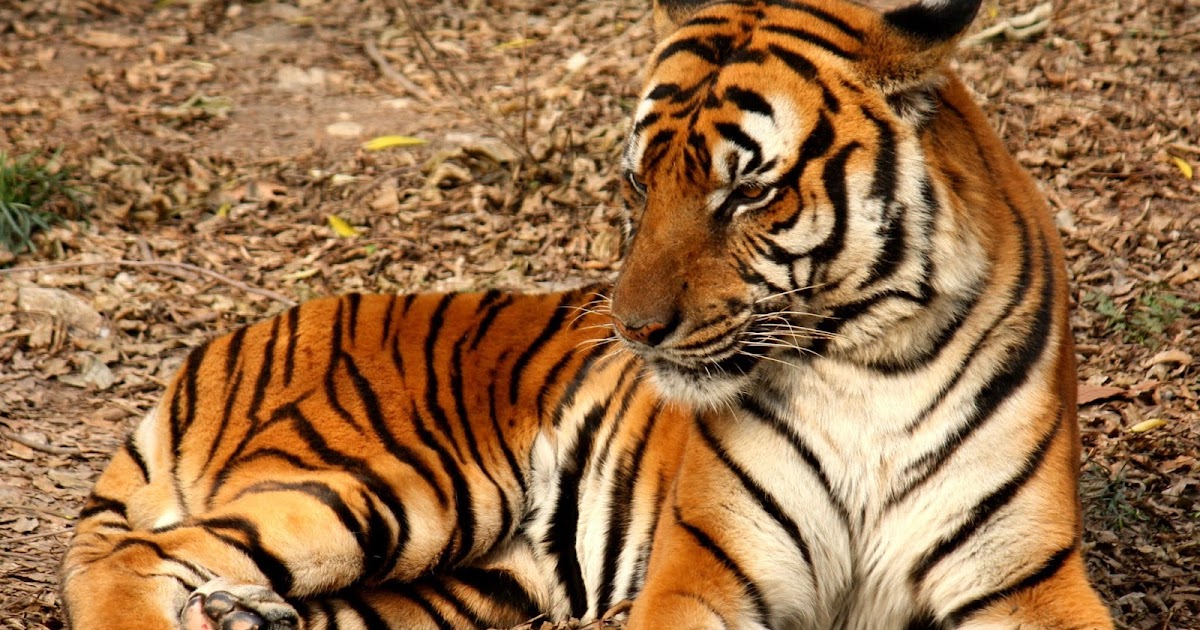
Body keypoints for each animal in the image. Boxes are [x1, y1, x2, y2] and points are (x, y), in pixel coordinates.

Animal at [59, 0, 1114, 628]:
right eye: (639, 183)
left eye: (748, 192)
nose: (635, 331)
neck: (865, 366)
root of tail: (227, 342)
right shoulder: (707, 571)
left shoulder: (1027, 580)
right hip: (390, 483)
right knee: (131, 558)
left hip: (466, 581)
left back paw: (244, 614)